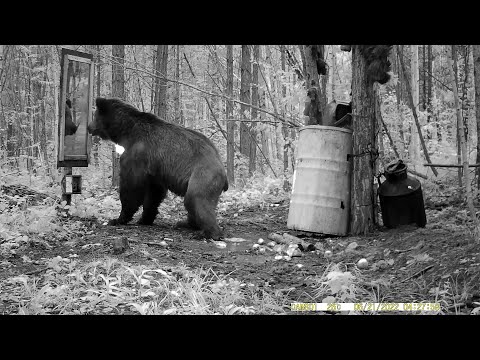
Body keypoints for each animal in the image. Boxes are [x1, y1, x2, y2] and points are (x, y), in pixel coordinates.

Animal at [87, 97, 229, 240]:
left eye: (95, 115)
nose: (88, 127)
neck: (127, 131)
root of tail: (223, 169)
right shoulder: (154, 169)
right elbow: (153, 193)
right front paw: (145, 218)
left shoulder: (138, 153)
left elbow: (132, 186)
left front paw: (118, 219)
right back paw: (185, 223)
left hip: (203, 176)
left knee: (196, 199)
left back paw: (208, 233)